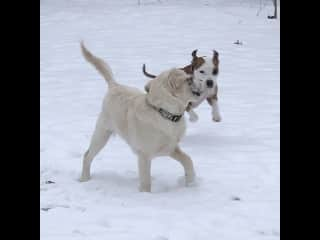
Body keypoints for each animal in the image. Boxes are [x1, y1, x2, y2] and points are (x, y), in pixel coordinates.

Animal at [79, 42, 200, 192]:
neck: (164, 113)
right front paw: (145, 194)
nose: (203, 79)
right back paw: (84, 179)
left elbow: (188, 160)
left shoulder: (171, 148)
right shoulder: (144, 155)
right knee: (87, 155)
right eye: (189, 79)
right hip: (102, 134)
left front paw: (191, 182)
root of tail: (114, 85)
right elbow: (146, 181)